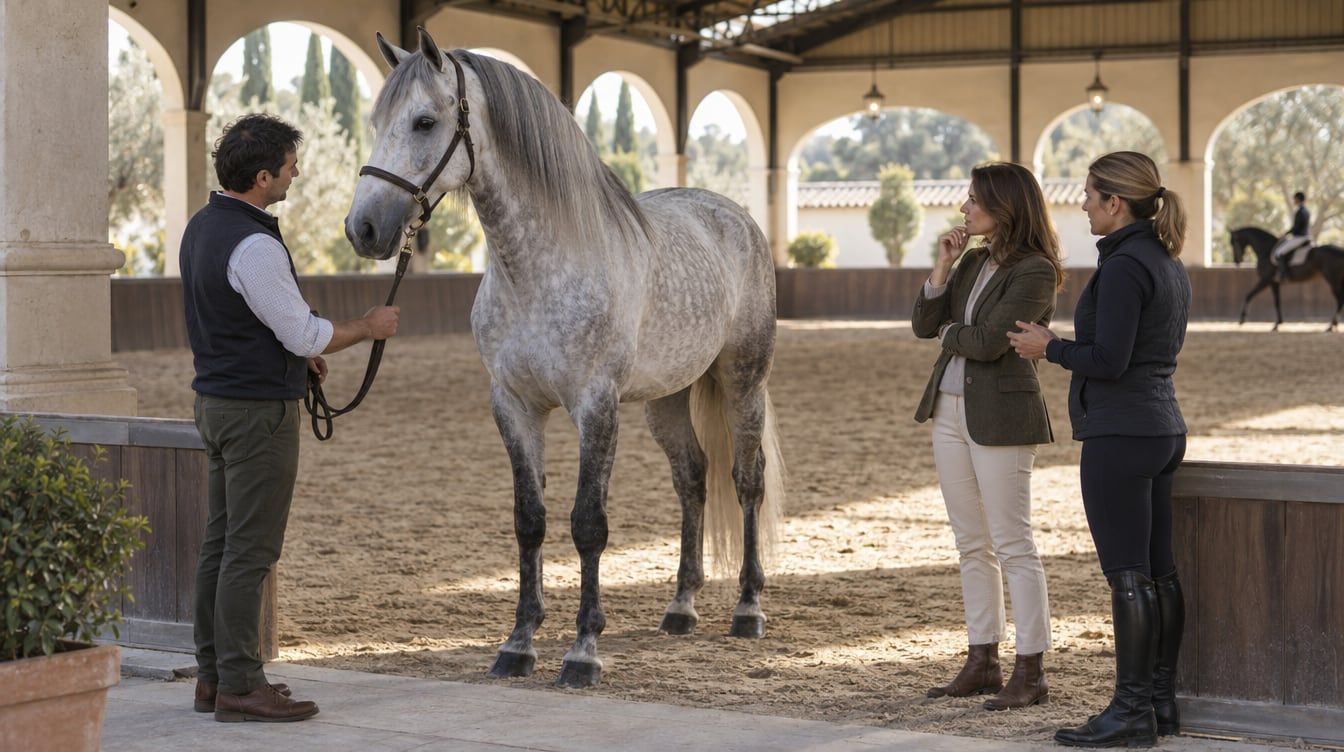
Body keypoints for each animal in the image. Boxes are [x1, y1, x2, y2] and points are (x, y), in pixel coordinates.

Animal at [344, 29, 785, 688]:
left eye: (424, 121)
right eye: (375, 121)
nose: (364, 228)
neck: (537, 270)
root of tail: (735, 217)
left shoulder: (595, 407)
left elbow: (587, 524)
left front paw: (583, 651)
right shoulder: (514, 405)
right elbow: (530, 520)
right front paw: (518, 644)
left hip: (742, 382)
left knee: (746, 480)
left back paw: (748, 609)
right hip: (667, 399)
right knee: (692, 480)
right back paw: (681, 607)